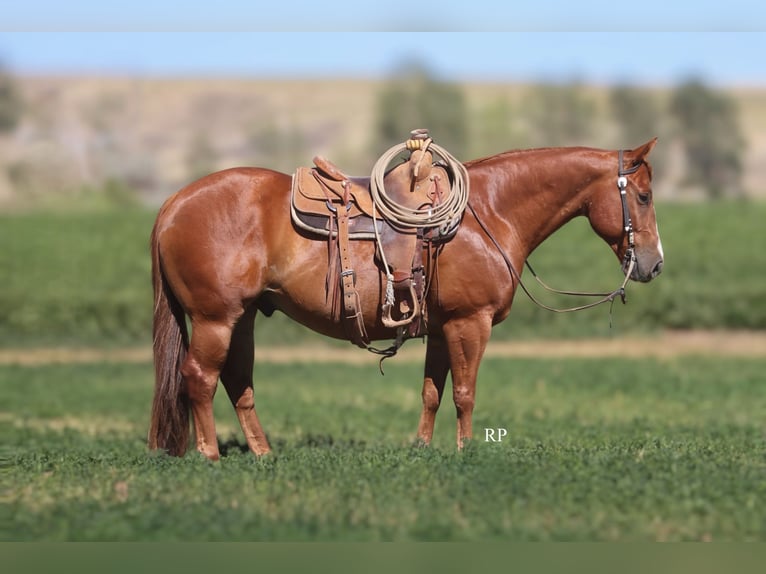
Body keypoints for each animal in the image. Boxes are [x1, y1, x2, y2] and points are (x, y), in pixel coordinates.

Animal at [148, 139, 663, 460]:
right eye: (643, 196)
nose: (654, 264)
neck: (490, 212)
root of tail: (173, 203)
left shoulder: (441, 328)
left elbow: (432, 392)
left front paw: (423, 448)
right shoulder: (469, 322)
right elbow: (464, 393)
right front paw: (466, 451)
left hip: (245, 317)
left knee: (237, 381)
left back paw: (263, 454)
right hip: (215, 318)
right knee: (199, 378)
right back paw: (211, 455)